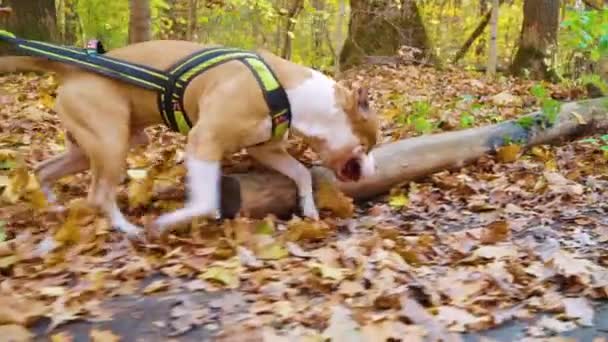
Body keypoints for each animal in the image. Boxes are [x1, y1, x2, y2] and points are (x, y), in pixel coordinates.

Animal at [0, 40, 380, 236]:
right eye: (367, 146)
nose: (374, 170)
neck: (289, 94)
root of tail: (72, 68)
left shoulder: (266, 150)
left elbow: (300, 172)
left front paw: (309, 207)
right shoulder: (203, 142)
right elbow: (207, 201)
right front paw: (170, 221)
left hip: (97, 146)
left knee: (45, 170)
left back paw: (52, 205)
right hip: (112, 143)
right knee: (98, 195)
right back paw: (129, 230)